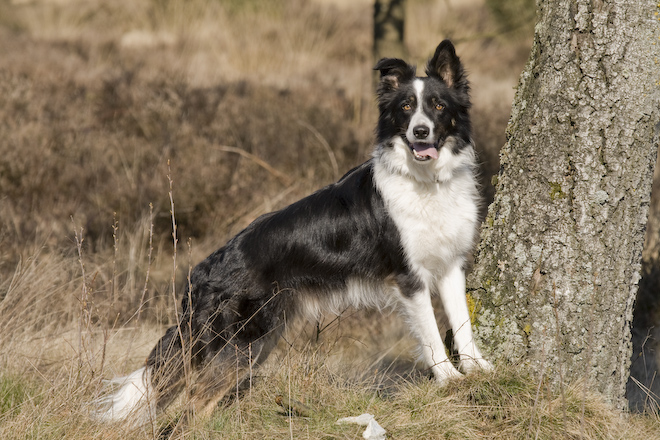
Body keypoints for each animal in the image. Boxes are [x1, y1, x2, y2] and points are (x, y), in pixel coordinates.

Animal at [95, 39, 492, 424]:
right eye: (407, 107)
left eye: (438, 106)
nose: (420, 132)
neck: (426, 182)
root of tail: (200, 274)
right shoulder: (410, 278)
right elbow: (431, 335)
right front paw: (450, 379)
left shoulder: (450, 265)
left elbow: (462, 322)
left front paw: (479, 369)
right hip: (244, 341)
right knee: (192, 405)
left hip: (259, 341)